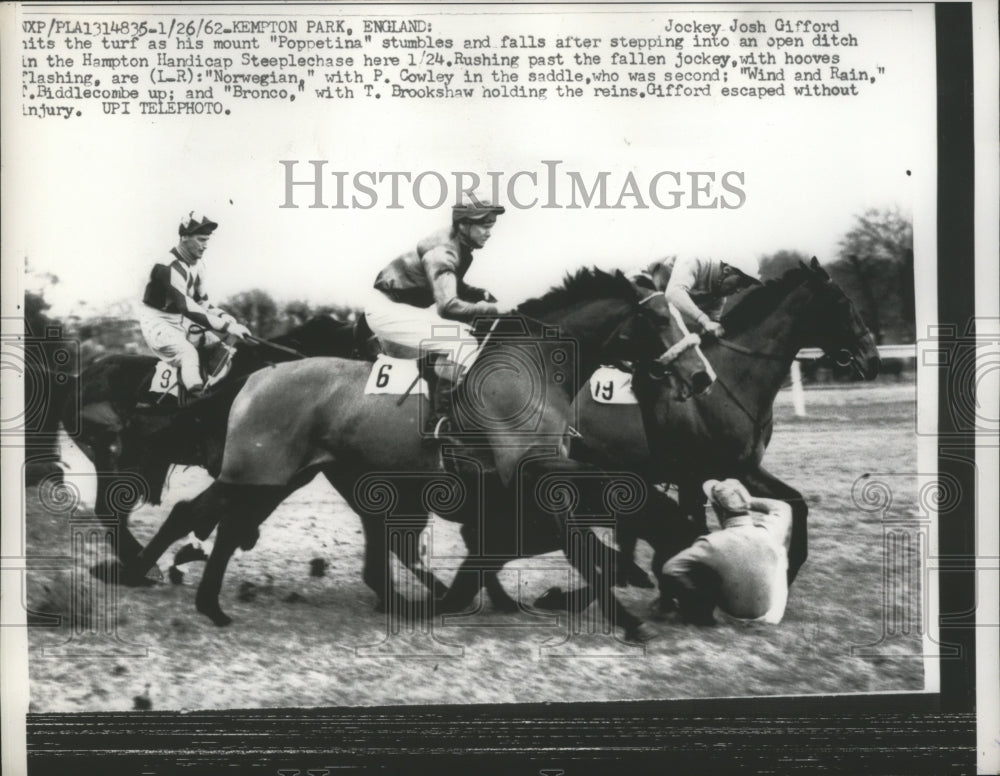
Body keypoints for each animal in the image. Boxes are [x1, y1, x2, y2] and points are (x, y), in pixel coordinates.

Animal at [129, 268, 696, 644]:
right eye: (658, 317)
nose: (699, 373)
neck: (532, 366)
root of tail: (260, 374)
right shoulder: (529, 472)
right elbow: (586, 533)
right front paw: (631, 611)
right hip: (264, 473)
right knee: (215, 521)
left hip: (280, 475)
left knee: (204, 517)